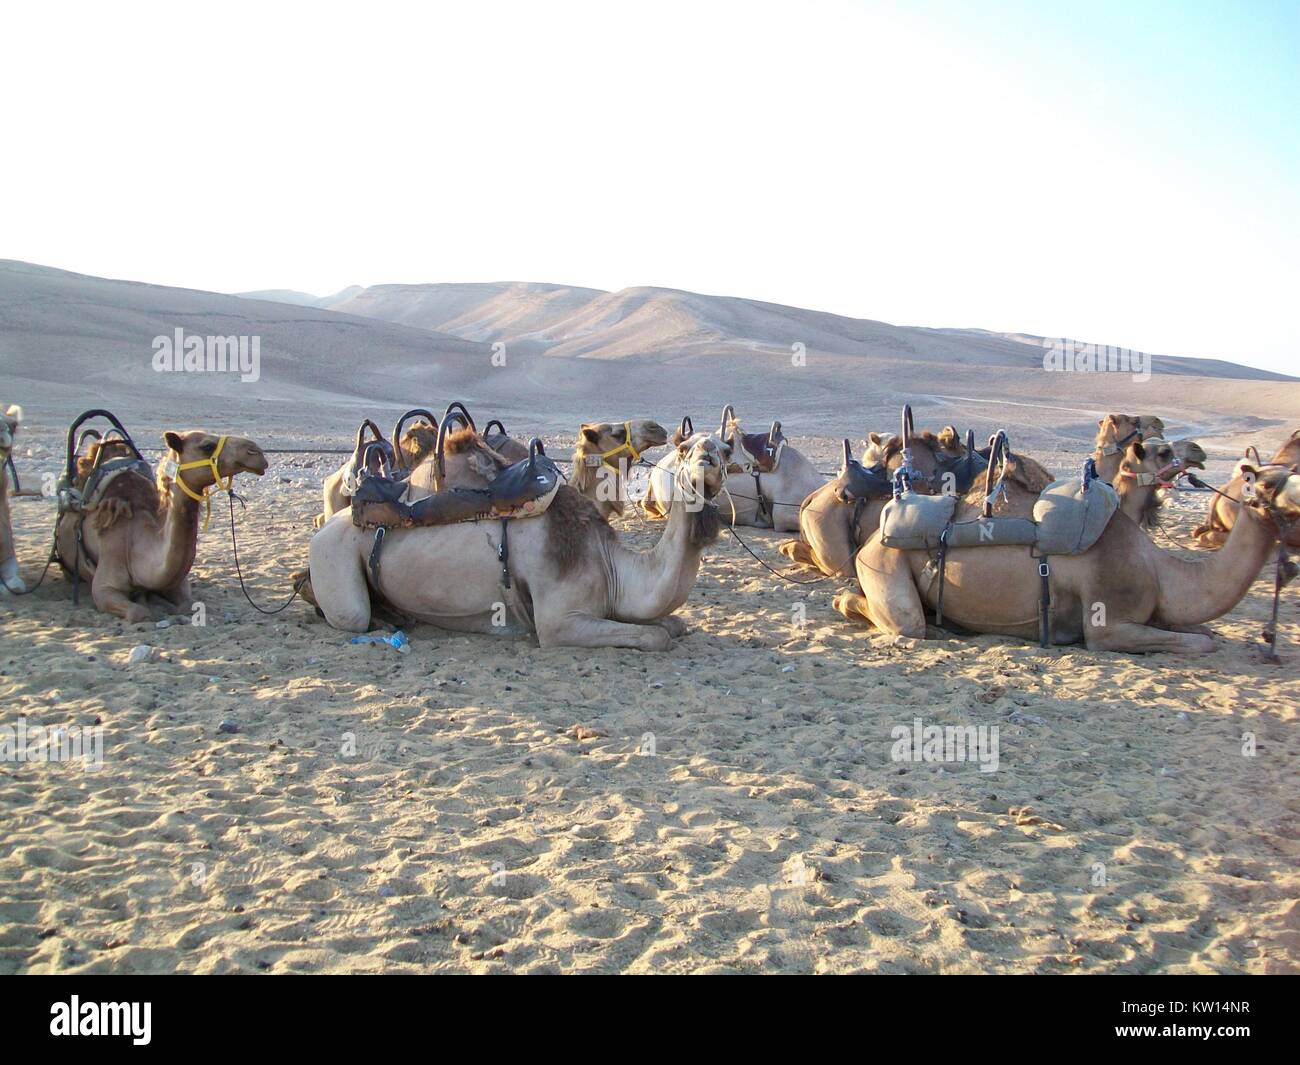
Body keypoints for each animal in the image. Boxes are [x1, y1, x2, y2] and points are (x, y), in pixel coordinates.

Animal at [55, 430, 267, 622]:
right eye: (207, 446)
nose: (256, 452)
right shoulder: (104, 584)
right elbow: (139, 612)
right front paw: (145, 602)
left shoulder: (178, 582)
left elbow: (187, 605)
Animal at [306, 434, 728, 650]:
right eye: (685, 449)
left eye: (724, 449)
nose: (710, 460)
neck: (612, 567)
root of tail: (324, 528)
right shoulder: (558, 622)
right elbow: (657, 636)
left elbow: (673, 624)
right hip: (332, 553)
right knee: (352, 615)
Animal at [834, 462, 1300, 654]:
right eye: (1269, 483)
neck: (1158, 569)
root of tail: (875, 535)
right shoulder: (1109, 625)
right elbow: (1202, 641)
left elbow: (1203, 631)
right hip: (884, 563)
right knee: (900, 620)